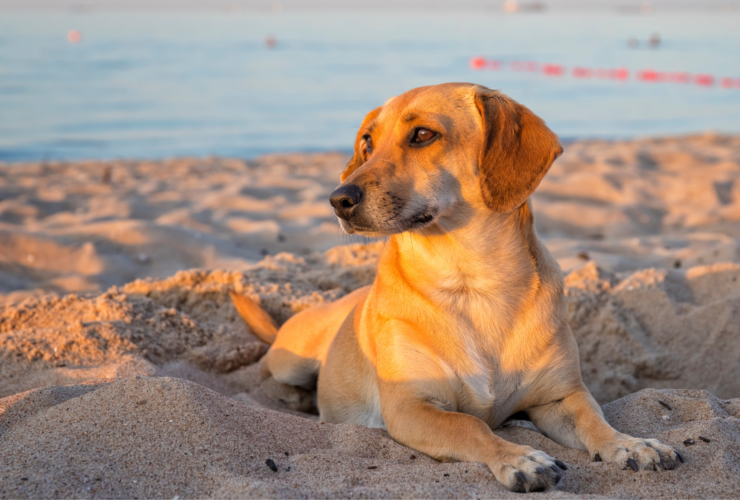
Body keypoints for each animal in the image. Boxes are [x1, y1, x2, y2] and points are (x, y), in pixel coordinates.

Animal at [230, 83, 684, 492]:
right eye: (367, 142)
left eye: (423, 135)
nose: (338, 199)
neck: (471, 282)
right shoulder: (411, 407)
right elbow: (470, 427)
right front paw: (519, 458)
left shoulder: (561, 397)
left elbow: (595, 420)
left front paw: (632, 444)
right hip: (291, 361)